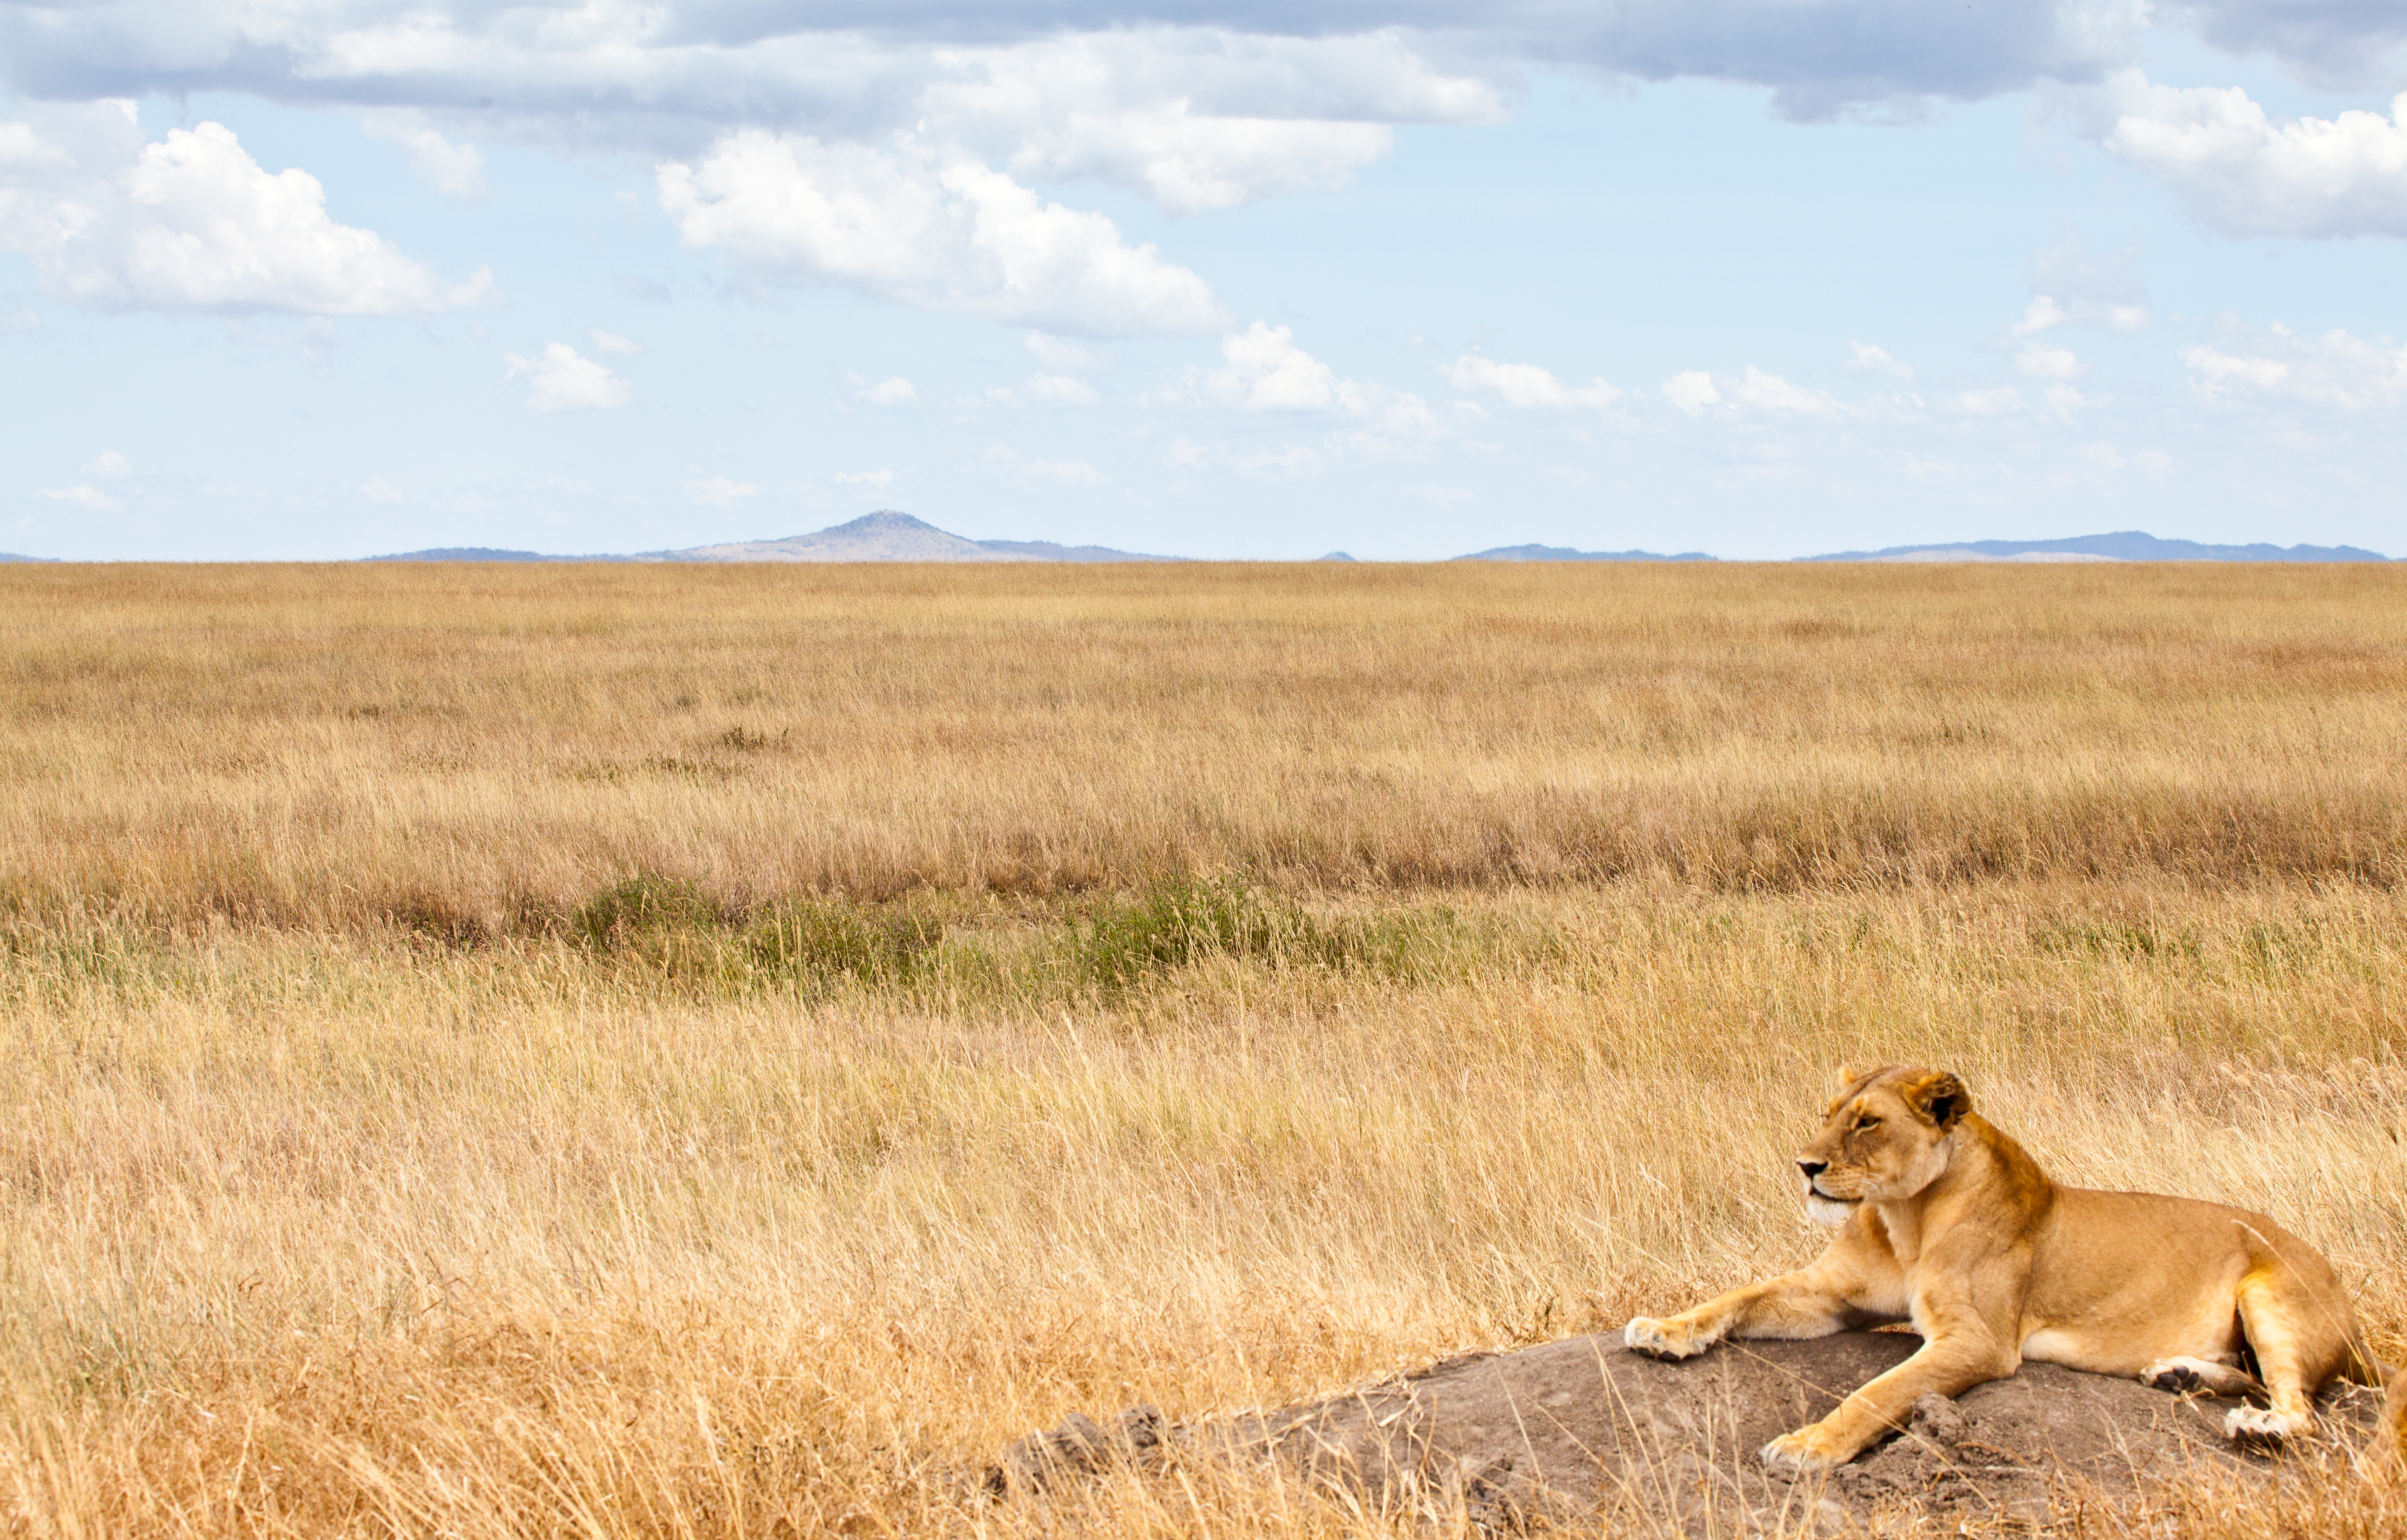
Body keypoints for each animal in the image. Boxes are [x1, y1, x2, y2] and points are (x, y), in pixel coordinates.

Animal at [1621, 1065, 2382, 1472]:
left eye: (1866, 1123)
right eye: (1829, 1114)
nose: (1805, 1167)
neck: (1906, 1218)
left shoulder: (1977, 1341)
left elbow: (1880, 1391)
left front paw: (1809, 1445)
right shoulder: (1829, 1295)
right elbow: (1737, 1295)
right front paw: (1661, 1329)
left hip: (2269, 1289)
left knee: (2301, 1406)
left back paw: (2258, 1426)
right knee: (2249, 1376)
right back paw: (2179, 1374)